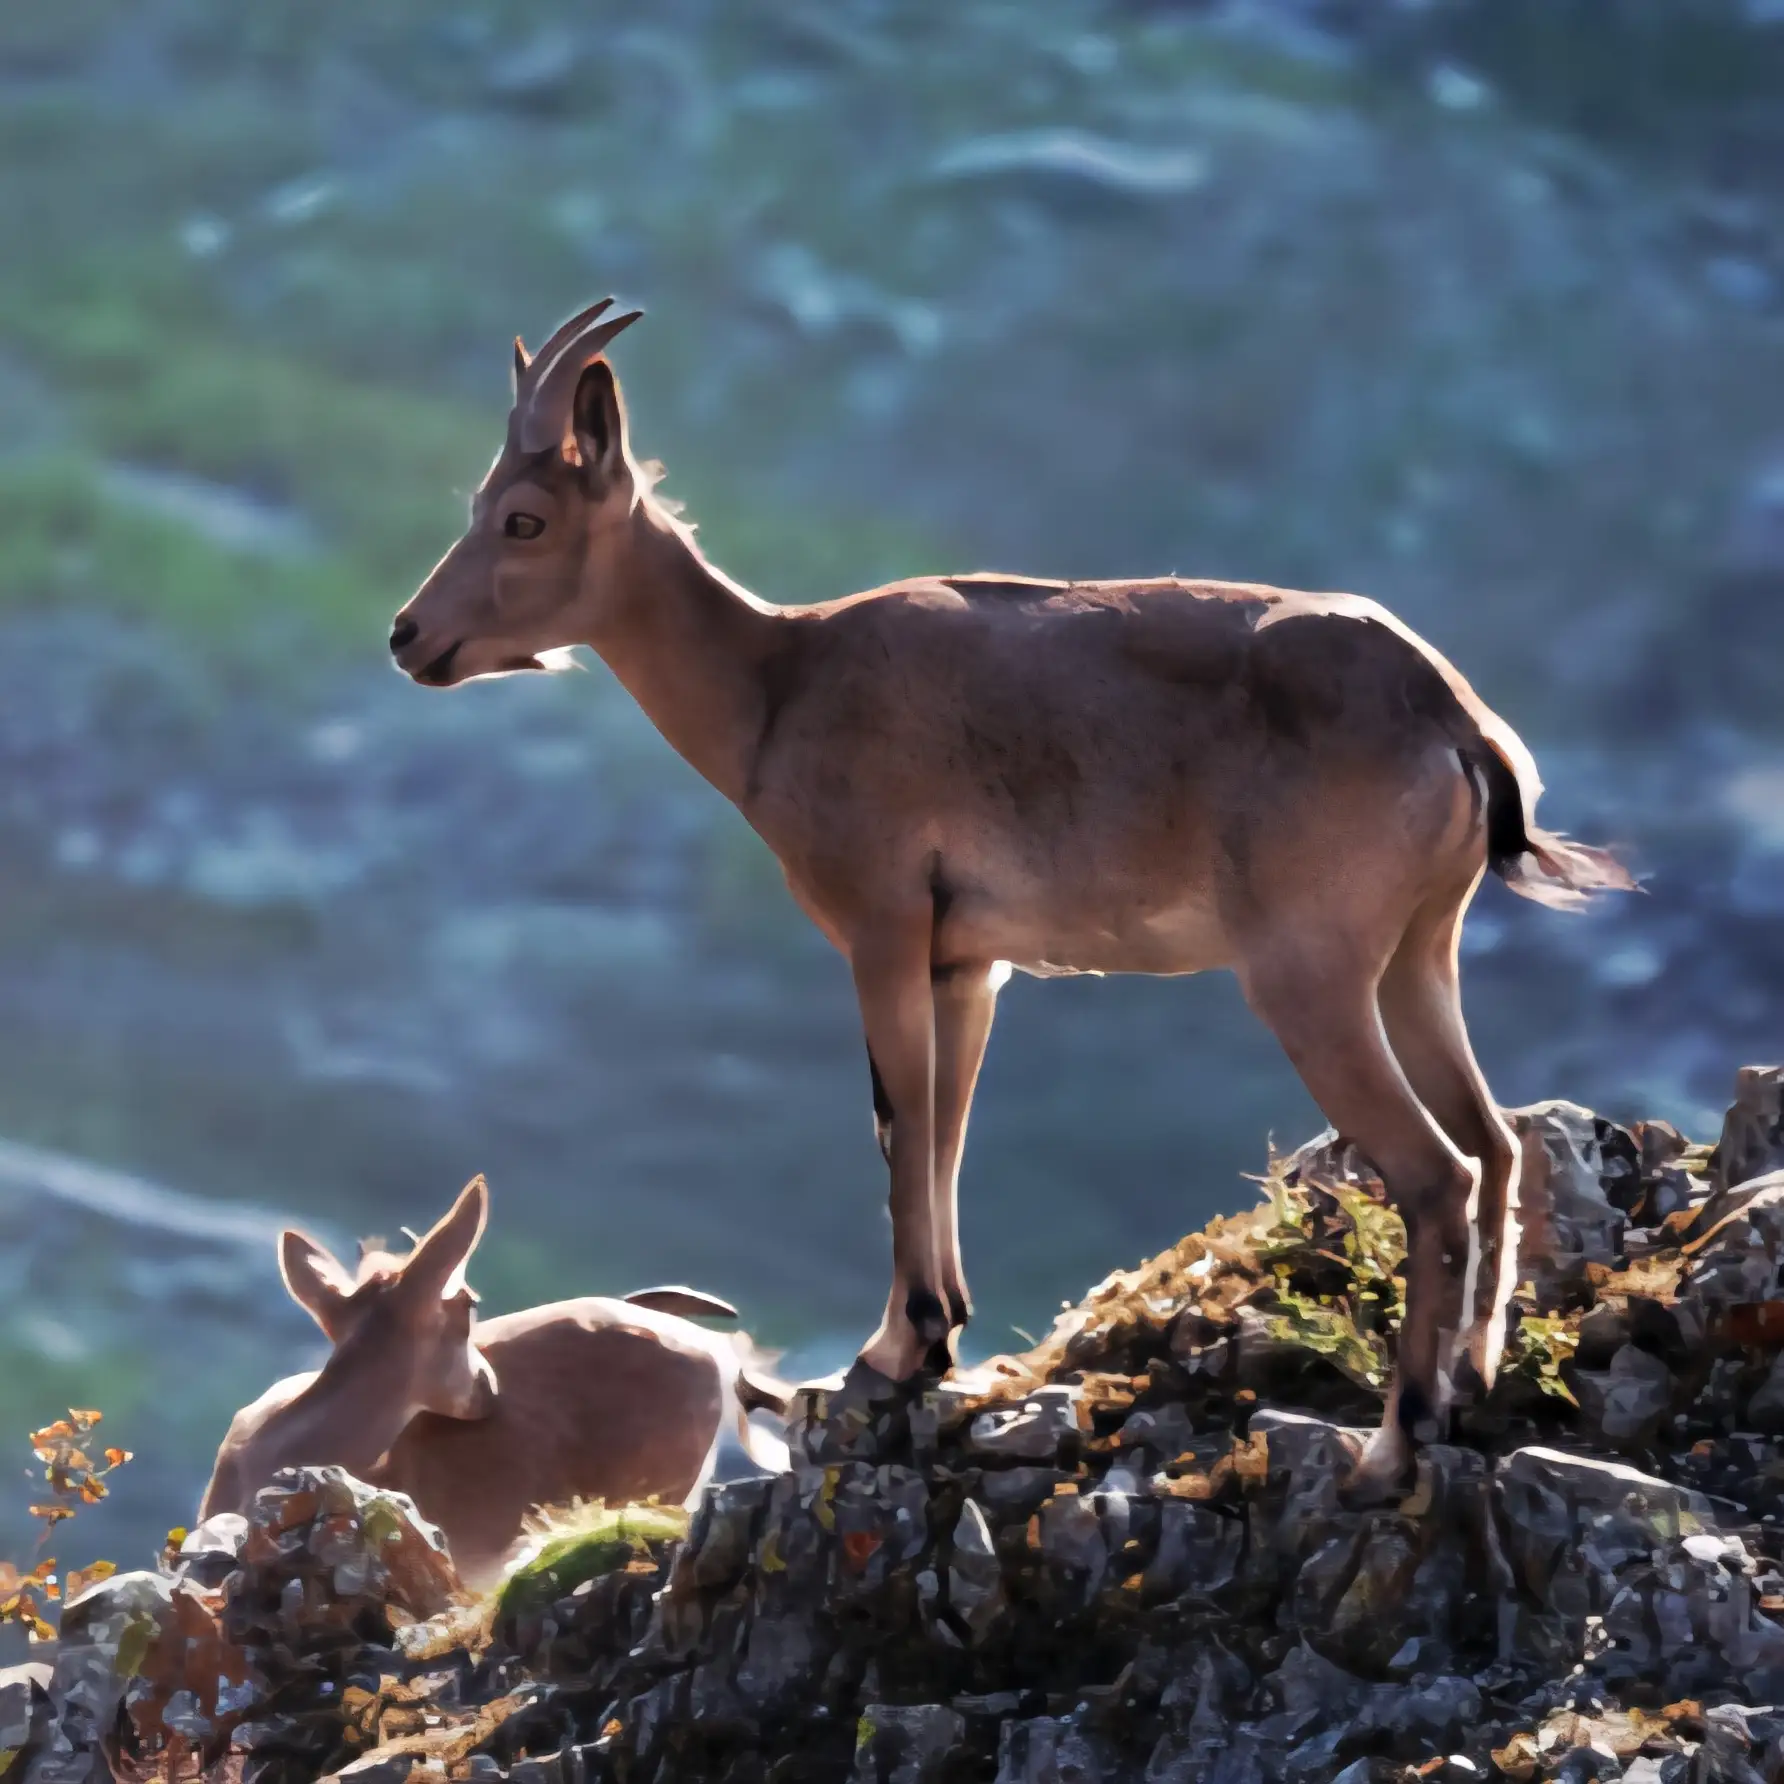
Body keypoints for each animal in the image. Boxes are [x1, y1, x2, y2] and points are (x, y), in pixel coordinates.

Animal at [387, 300, 1633, 1496]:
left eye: (523, 519)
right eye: (480, 502)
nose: (409, 636)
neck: (775, 686)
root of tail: (1455, 721)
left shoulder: (883, 924)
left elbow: (896, 1122)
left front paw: (892, 1350)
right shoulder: (967, 961)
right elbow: (945, 1126)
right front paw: (934, 1336)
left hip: (1310, 973)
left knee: (1433, 1171)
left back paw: (1390, 1450)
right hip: (1419, 951)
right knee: (1494, 1146)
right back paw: (1469, 1382)